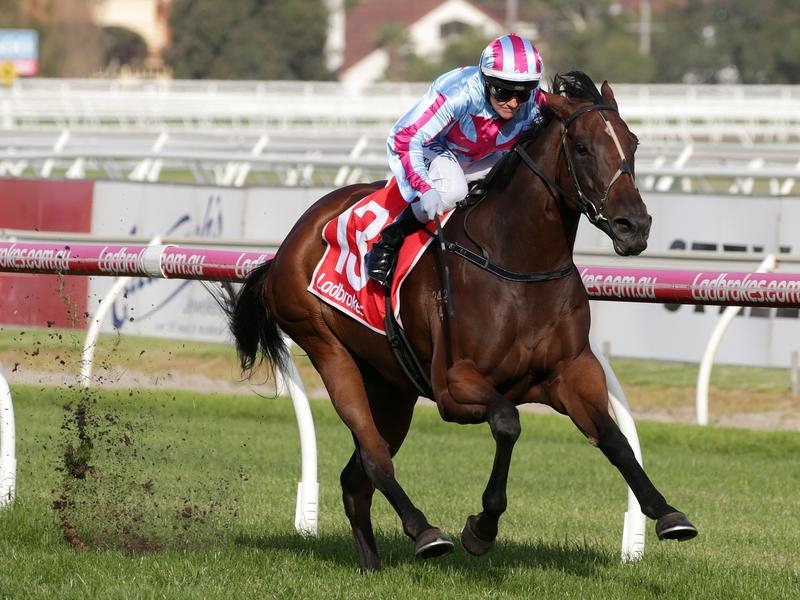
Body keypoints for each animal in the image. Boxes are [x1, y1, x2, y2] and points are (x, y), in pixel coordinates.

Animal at [226, 71, 698, 572]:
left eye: (632, 142)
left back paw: (372, 564)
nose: (635, 226)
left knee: (356, 479)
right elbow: (508, 422)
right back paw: (424, 531)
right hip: (327, 348)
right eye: (583, 147)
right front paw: (481, 528)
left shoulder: (571, 372)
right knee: (374, 457)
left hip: (391, 386)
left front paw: (667, 513)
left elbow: (614, 437)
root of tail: (289, 243)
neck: (517, 263)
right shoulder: (454, 385)